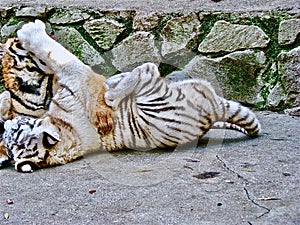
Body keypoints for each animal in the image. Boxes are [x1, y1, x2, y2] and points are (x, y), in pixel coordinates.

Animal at [0, 20, 260, 172]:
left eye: (15, 131)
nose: (6, 127)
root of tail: (215, 110)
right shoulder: (76, 78)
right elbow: (57, 54)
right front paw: (31, 30)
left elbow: (49, 59)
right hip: (157, 101)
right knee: (149, 70)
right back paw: (114, 93)